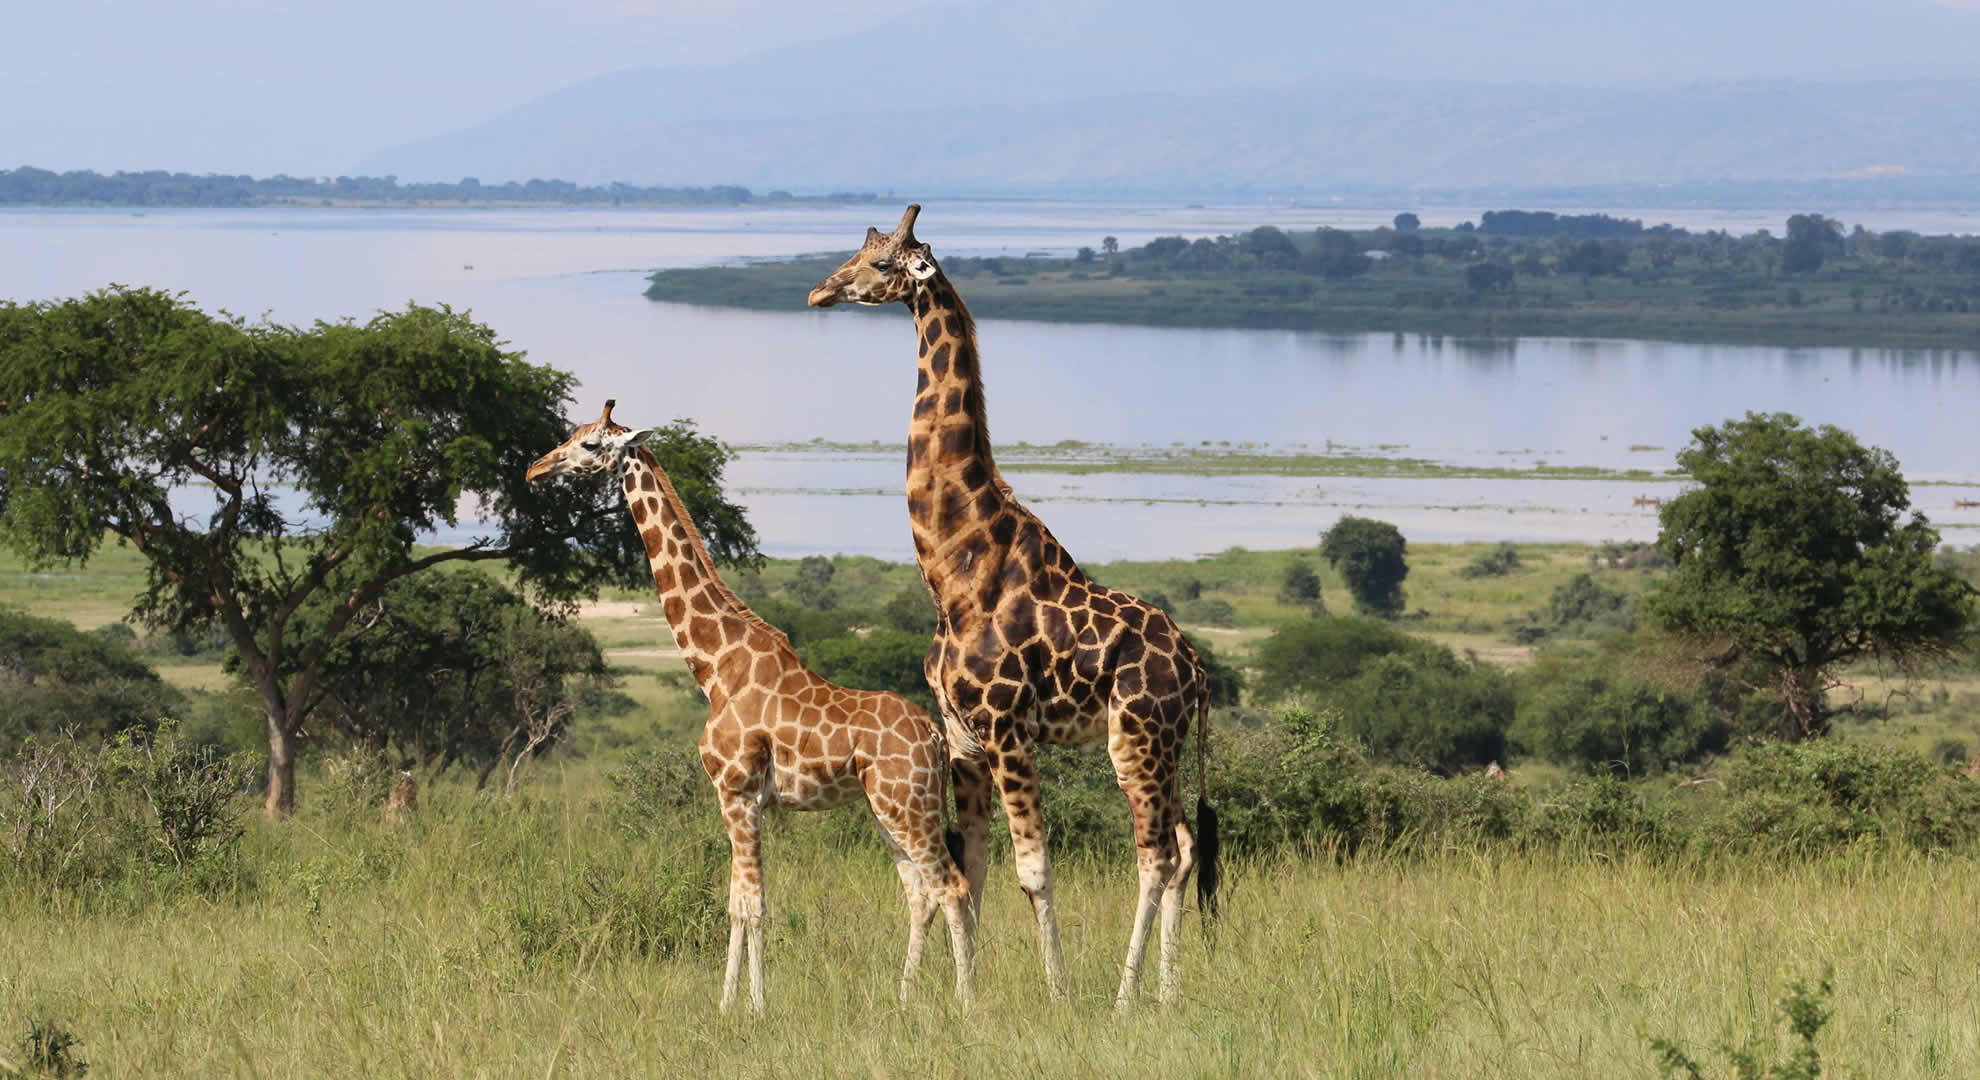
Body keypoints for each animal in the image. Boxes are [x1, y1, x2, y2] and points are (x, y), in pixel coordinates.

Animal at [807, 206, 1211, 1006]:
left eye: (881, 262)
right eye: (857, 252)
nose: (821, 290)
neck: (954, 566)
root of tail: (1196, 670)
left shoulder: (1006, 730)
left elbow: (1034, 870)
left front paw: (1054, 990)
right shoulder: (963, 739)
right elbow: (971, 870)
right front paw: (966, 994)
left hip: (1136, 737)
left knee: (1153, 854)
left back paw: (1124, 998)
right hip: (1167, 743)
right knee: (1182, 849)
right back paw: (1168, 992)